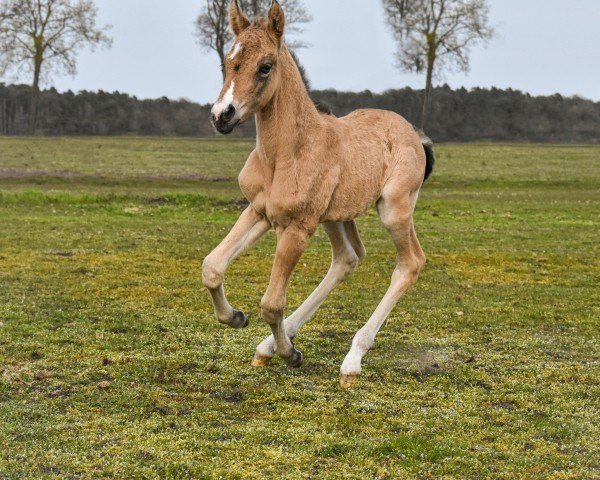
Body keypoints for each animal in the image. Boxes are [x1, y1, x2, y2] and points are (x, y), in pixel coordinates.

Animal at [203, 0, 436, 388]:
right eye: (227, 61)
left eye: (265, 66)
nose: (222, 115)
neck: (285, 153)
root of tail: (414, 134)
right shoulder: (258, 211)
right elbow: (212, 267)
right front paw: (236, 317)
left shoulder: (298, 228)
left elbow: (271, 304)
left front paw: (290, 354)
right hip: (336, 216)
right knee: (348, 258)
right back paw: (270, 345)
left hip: (394, 209)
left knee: (410, 264)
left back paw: (352, 360)